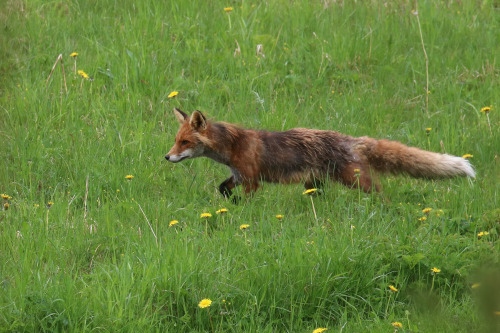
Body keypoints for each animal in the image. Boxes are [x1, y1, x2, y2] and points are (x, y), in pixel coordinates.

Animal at [166, 108, 474, 197]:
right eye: (176, 141)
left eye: (185, 143)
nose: (166, 158)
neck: (232, 146)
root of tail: (350, 139)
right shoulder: (237, 176)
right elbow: (222, 189)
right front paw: (229, 203)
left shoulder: (252, 180)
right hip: (314, 183)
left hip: (356, 181)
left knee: (382, 195)